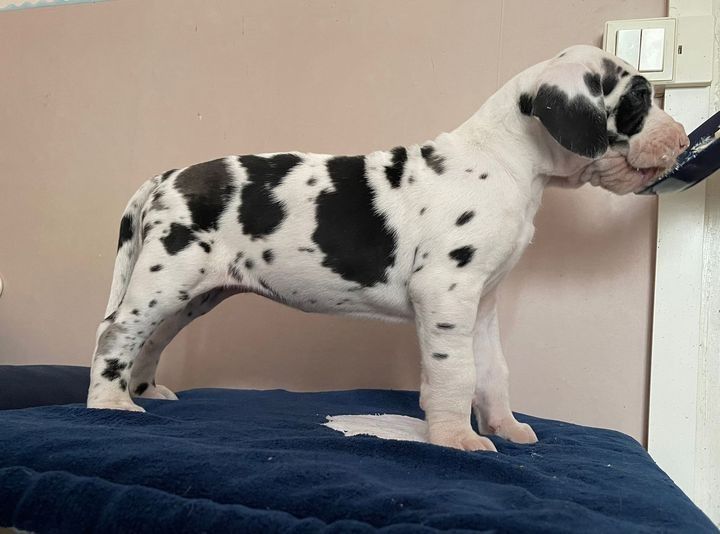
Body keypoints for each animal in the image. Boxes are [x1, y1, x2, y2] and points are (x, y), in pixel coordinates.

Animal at [87, 45, 688, 451]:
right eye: (638, 98)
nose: (683, 139)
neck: (505, 160)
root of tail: (165, 178)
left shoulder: (482, 305)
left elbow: (492, 373)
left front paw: (506, 427)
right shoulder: (445, 293)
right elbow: (455, 374)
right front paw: (455, 438)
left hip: (192, 295)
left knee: (150, 338)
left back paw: (146, 391)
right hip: (166, 277)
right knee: (115, 332)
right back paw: (110, 404)